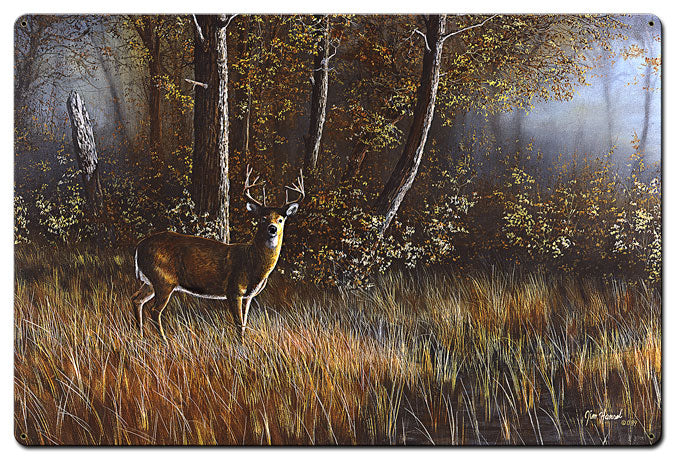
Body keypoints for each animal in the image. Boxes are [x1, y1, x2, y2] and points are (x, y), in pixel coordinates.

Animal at [130, 165, 305, 342]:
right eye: (263, 218)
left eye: (281, 219)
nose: (272, 228)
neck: (252, 262)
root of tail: (138, 247)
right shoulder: (233, 290)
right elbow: (238, 323)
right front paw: (240, 345)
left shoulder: (248, 296)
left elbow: (244, 322)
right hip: (164, 279)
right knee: (154, 310)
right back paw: (163, 341)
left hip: (151, 281)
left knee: (136, 299)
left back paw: (140, 335)